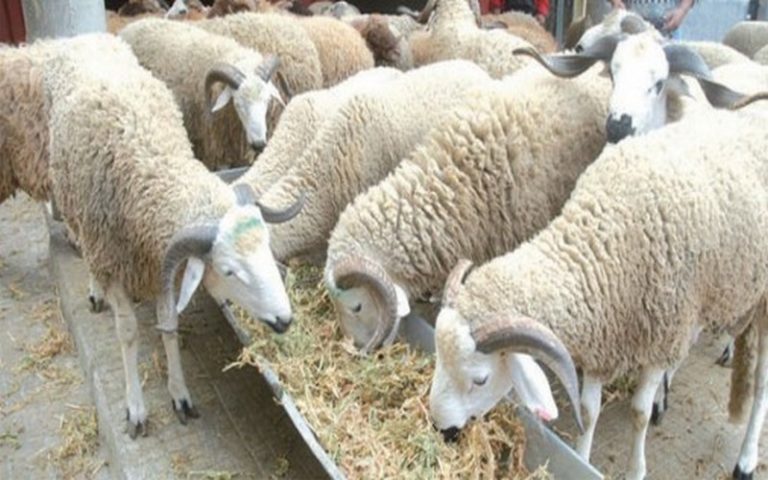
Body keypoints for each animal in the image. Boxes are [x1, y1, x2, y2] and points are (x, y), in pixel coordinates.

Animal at [44, 33, 304, 438]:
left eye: (265, 248)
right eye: (228, 271)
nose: (285, 320)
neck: (153, 173)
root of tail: (83, 37)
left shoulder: (162, 268)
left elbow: (169, 326)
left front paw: (179, 393)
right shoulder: (117, 260)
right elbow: (128, 333)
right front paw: (135, 408)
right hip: (76, 202)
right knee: (84, 243)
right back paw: (94, 288)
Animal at [428, 108, 768, 480]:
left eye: (480, 380)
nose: (441, 431)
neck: (602, 240)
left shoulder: (661, 335)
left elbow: (638, 413)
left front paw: (636, 469)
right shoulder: (603, 336)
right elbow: (589, 412)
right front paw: (583, 458)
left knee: (760, 385)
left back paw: (746, 459)